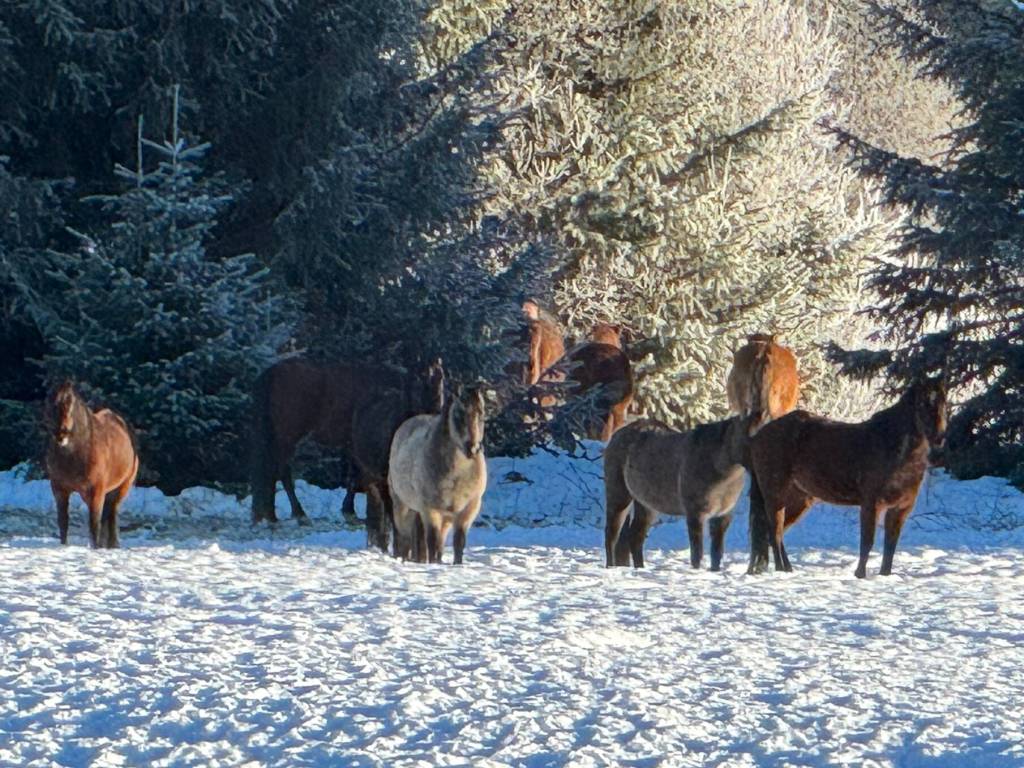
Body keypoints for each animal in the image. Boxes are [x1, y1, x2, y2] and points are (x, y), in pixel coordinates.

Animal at [44, 381, 138, 548]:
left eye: (70, 402)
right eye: (51, 401)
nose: (61, 433)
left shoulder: (95, 491)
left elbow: (94, 524)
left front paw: (95, 547)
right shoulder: (59, 490)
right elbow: (63, 522)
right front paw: (63, 546)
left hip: (123, 487)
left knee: (112, 513)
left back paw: (112, 544)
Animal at [249, 358, 406, 541]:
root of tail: (272, 374)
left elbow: (353, 476)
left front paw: (349, 511)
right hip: (286, 438)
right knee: (281, 472)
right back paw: (295, 515)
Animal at [388, 386, 487, 564]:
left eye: (481, 414)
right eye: (458, 415)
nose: (473, 449)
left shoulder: (468, 510)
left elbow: (458, 542)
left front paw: (456, 564)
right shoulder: (430, 510)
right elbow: (432, 542)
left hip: (444, 517)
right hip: (403, 505)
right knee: (405, 538)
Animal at [603, 416, 753, 569]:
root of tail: (616, 434)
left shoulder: (722, 516)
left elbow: (717, 554)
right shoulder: (696, 514)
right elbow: (697, 553)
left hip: (646, 504)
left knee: (635, 536)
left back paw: (640, 568)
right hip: (619, 496)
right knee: (611, 535)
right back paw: (611, 567)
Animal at [747, 377, 947, 578]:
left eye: (944, 403)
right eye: (922, 404)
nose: (939, 438)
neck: (894, 449)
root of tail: (758, 437)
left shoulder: (900, 509)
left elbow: (890, 547)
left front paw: (885, 576)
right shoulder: (872, 504)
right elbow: (867, 542)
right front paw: (860, 575)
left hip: (799, 500)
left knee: (775, 534)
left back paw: (787, 569)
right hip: (775, 495)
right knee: (774, 532)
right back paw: (781, 570)